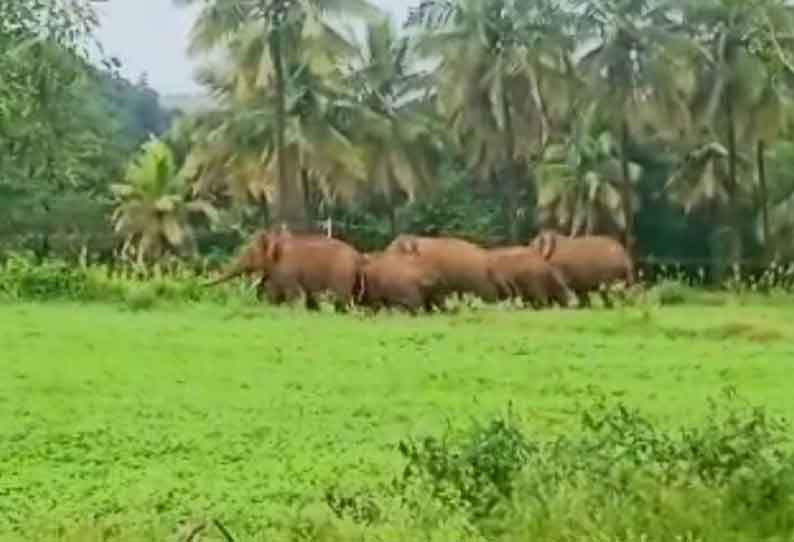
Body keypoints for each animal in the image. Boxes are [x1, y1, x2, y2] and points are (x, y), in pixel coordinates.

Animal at [204, 231, 366, 314]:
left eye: (250, 253)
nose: (201, 285)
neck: (277, 239)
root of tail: (358, 256)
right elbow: (273, 292)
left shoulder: (288, 270)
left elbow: (292, 294)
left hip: (341, 275)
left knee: (342, 299)